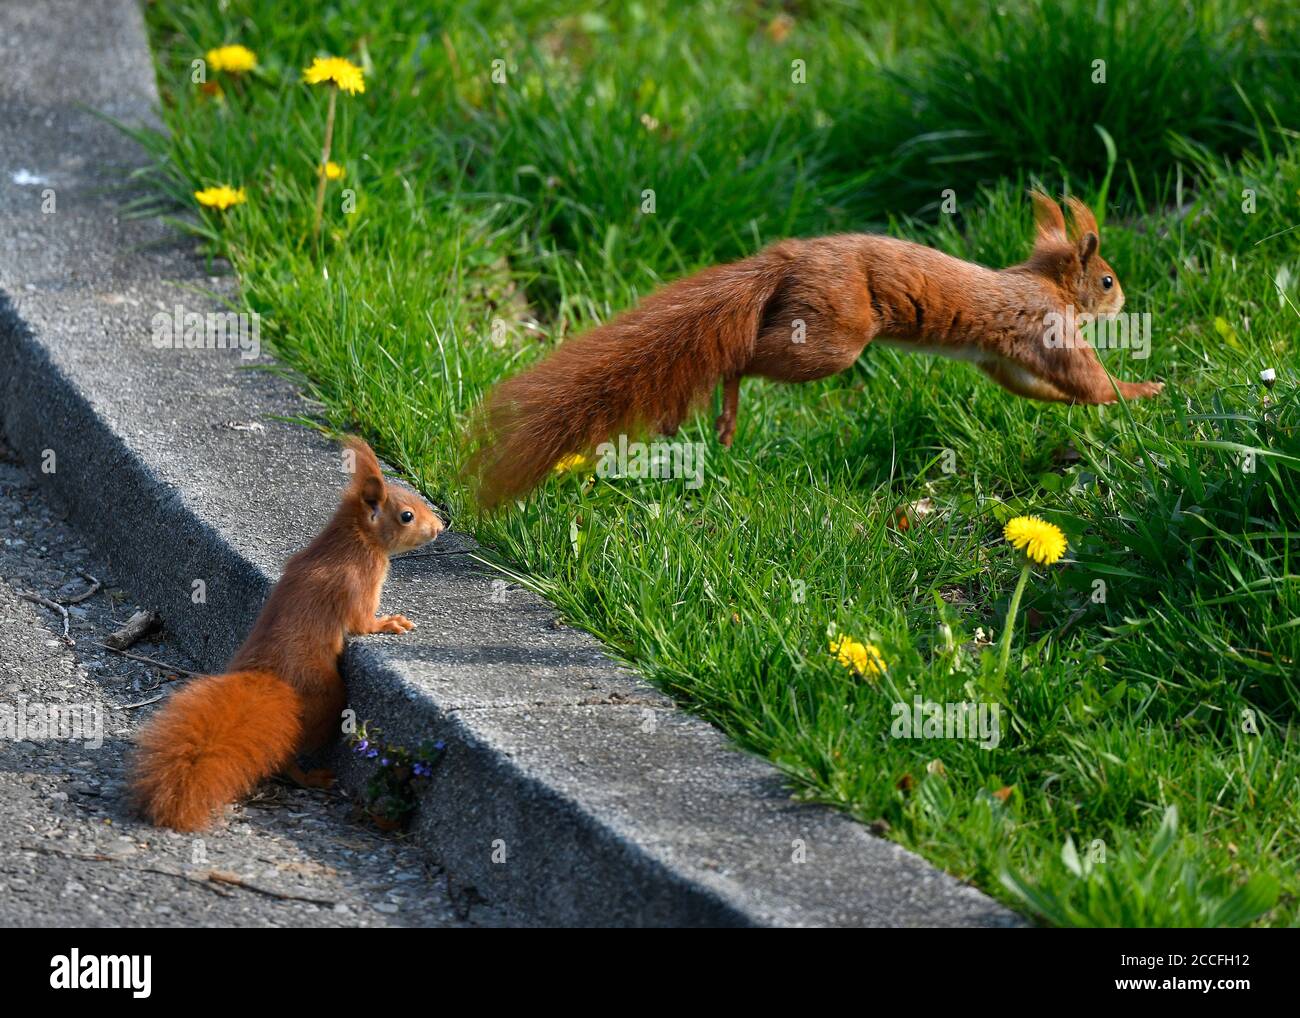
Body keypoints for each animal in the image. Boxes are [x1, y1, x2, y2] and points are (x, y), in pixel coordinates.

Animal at [131, 436, 444, 826]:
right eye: (407, 516)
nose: (441, 527)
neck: (355, 540)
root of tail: (271, 676)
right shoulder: (358, 583)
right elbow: (362, 623)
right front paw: (391, 622)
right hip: (324, 698)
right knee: (291, 752)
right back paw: (311, 777)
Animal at [473, 189, 1164, 504]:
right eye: (1107, 280)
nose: (1123, 300)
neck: (1044, 281)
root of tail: (791, 259)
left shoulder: (1003, 360)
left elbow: (1038, 387)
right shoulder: (1050, 327)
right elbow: (1086, 378)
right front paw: (1140, 389)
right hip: (833, 338)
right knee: (742, 359)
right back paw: (723, 411)